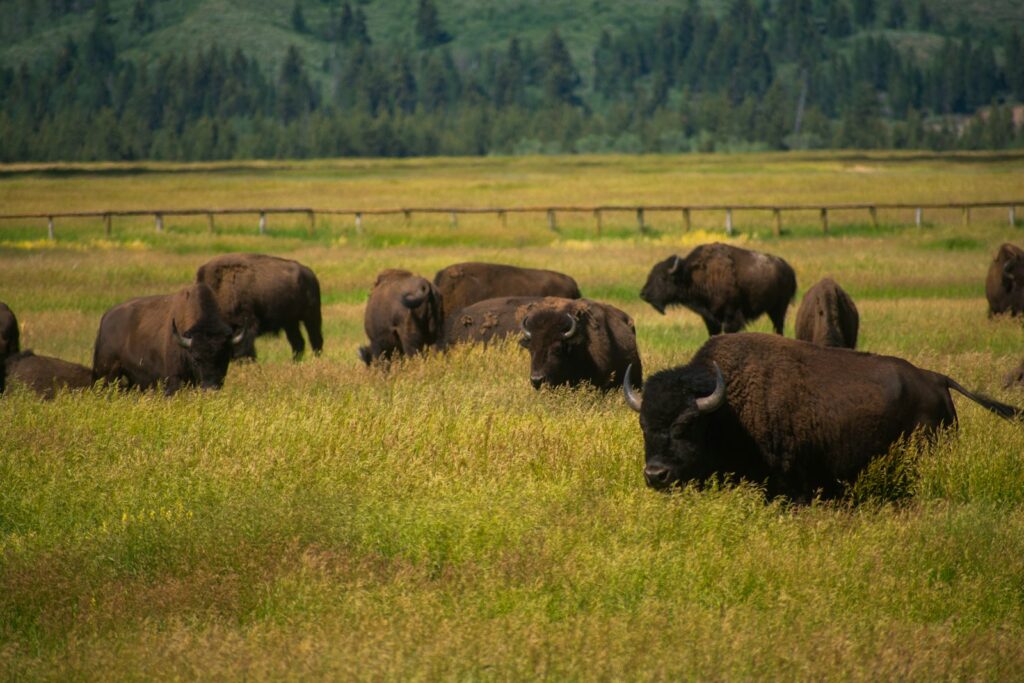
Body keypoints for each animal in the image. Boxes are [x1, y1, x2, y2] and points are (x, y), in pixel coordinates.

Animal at [640, 243, 796, 335]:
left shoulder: (731, 317)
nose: (644, 295)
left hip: (778, 309)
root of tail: (788, 268)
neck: (692, 275)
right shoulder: (710, 318)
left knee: (779, 326)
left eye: (662, 278)